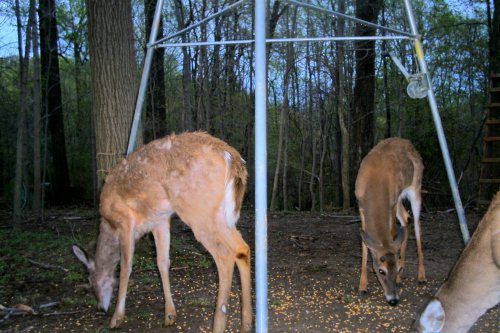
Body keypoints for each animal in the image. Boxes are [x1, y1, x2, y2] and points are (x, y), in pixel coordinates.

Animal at [72, 132, 252, 332]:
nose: (100, 308)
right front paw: (170, 315)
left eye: (89, 279)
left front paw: (116, 318)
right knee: (242, 247)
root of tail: (231, 158)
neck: (108, 224)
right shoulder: (160, 220)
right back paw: (246, 323)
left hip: (197, 210)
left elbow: (126, 267)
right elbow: (162, 262)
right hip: (222, 214)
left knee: (224, 254)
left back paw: (218, 324)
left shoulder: (125, 221)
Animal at [356, 136, 426, 304]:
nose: (393, 300)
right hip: (400, 197)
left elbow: (392, 233)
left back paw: (421, 276)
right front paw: (362, 287)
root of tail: (409, 144)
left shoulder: (391, 203)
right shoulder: (360, 205)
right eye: (381, 270)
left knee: (417, 224)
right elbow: (364, 243)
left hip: (415, 187)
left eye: (396, 269)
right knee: (406, 219)